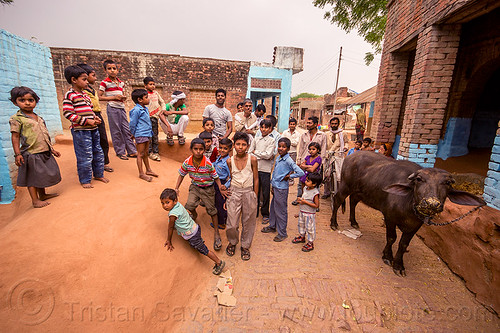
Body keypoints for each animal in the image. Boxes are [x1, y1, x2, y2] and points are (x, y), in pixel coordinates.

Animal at [330, 150, 486, 274]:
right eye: (419, 179)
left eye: (447, 183)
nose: (431, 203)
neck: (409, 207)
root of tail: (351, 156)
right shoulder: (390, 218)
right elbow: (392, 238)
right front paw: (388, 257)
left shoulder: (416, 226)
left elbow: (404, 244)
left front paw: (399, 265)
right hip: (345, 185)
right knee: (337, 200)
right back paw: (334, 223)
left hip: (359, 191)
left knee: (353, 201)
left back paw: (354, 222)